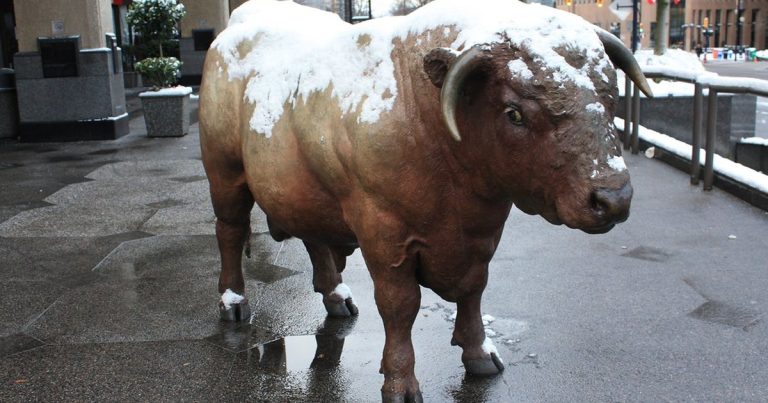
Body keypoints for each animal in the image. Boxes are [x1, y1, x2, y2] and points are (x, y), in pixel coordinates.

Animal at [199, 0, 652, 401]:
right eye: (515, 113)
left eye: (611, 98)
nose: (613, 198)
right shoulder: (384, 235)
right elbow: (401, 307)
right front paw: (400, 384)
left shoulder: (483, 232)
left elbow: (474, 291)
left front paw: (481, 355)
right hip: (225, 174)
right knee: (230, 232)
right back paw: (234, 302)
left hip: (305, 191)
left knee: (314, 238)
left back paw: (337, 297)